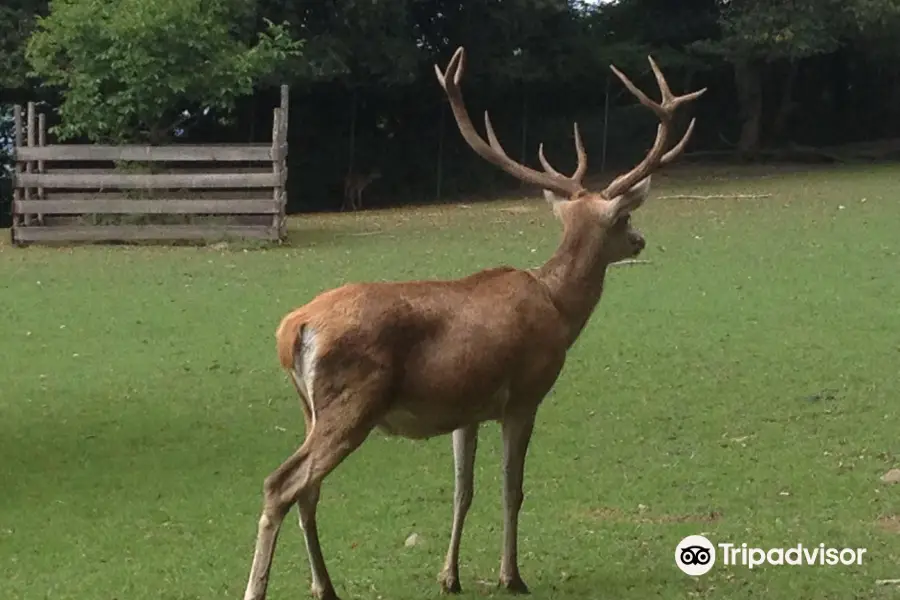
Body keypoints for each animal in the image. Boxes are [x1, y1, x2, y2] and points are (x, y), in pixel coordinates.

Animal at [243, 45, 708, 600]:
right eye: (624, 218)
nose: (639, 241)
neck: (558, 308)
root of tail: (293, 329)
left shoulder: (464, 408)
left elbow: (462, 489)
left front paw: (450, 575)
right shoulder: (525, 393)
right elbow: (512, 488)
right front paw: (512, 575)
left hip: (309, 408)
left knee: (307, 490)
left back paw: (325, 587)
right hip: (352, 399)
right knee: (281, 484)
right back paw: (259, 587)